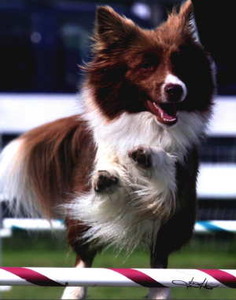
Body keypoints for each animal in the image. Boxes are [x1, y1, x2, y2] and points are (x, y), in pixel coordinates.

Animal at [0, 1, 215, 298]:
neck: (146, 121)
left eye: (181, 64)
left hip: (178, 221)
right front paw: (108, 177)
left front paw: (147, 156)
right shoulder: (93, 179)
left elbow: (164, 173)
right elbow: (106, 181)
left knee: (160, 261)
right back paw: (75, 290)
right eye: (146, 65)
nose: (175, 89)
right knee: (84, 254)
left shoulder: (179, 188)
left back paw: (159, 291)